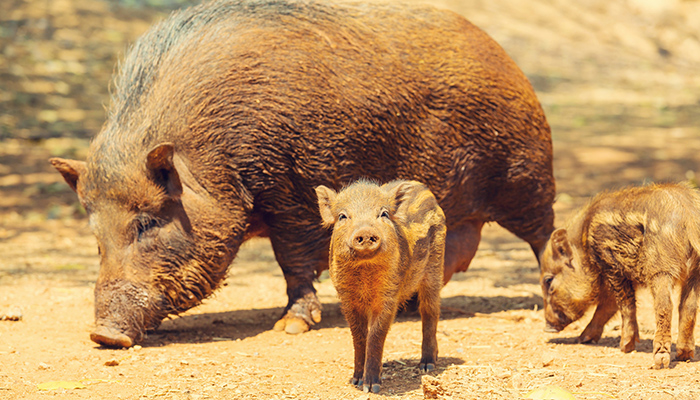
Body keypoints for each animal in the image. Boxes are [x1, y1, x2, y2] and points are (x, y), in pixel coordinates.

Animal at [50, 0, 552, 346]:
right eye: (96, 236)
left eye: (148, 222)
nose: (103, 335)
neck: (212, 160)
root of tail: (503, 56)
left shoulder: (289, 189)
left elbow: (290, 257)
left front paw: (289, 327)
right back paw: (410, 307)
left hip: (527, 177)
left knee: (543, 234)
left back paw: (547, 303)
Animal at [544, 184, 700, 368]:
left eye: (548, 281)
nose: (547, 327)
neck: (585, 244)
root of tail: (688, 215)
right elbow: (608, 305)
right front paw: (582, 339)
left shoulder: (611, 265)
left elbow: (624, 304)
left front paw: (625, 348)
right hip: (695, 271)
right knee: (688, 306)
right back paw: (684, 355)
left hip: (660, 266)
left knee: (665, 306)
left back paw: (659, 362)